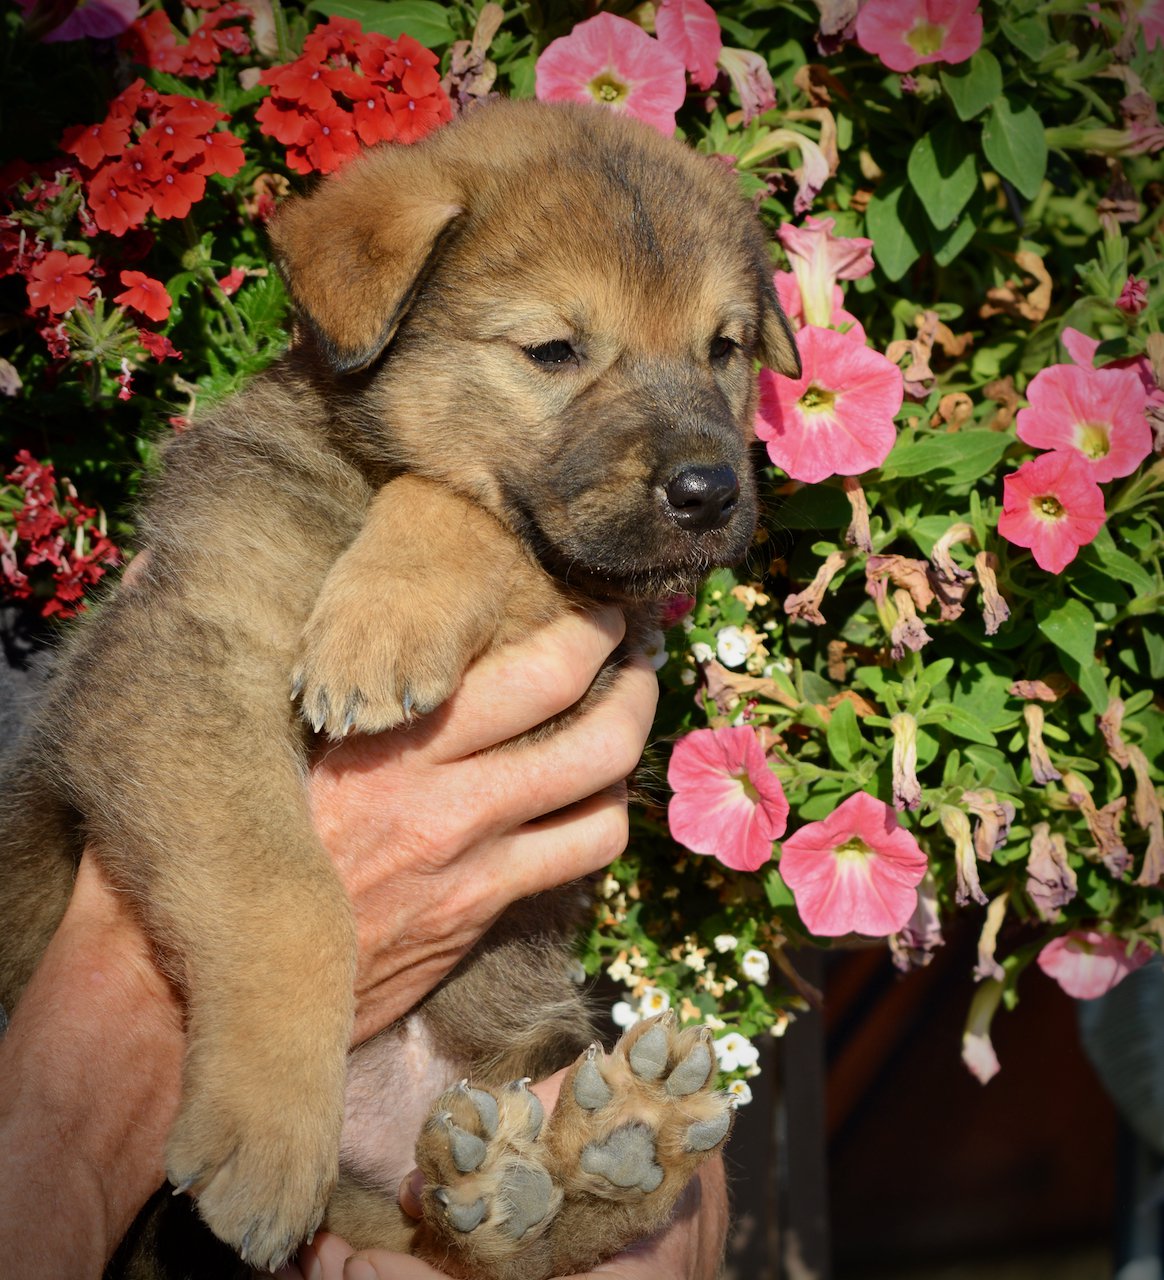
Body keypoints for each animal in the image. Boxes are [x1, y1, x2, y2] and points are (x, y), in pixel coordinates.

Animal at [0, 102, 799, 1280]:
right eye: (553, 350)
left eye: (724, 348)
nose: (710, 492)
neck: (361, 480)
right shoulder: (188, 660)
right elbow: (284, 895)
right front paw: (267, 1138)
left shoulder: (587, 613)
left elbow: (478, 511)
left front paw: (382, 617)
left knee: (505, 1238)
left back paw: (607, 1148)